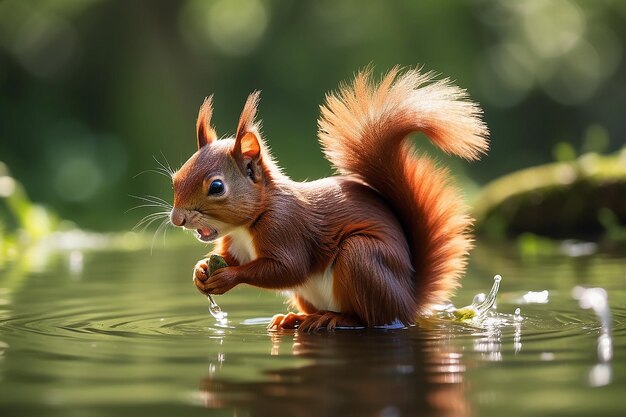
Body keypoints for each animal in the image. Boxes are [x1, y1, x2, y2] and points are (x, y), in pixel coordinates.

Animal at [168, 66, 486, 330]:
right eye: (175, 178)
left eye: (217, 187)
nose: (177, 219)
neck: (250, 223)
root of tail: (408, 303)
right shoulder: (236, 245)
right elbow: (232, 258)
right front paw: (200, 270)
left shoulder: (286, 228)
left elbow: (287, 268)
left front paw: (226, 278)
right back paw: (294, 318)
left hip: (361, 258)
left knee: (372, 319)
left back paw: (334, 319)